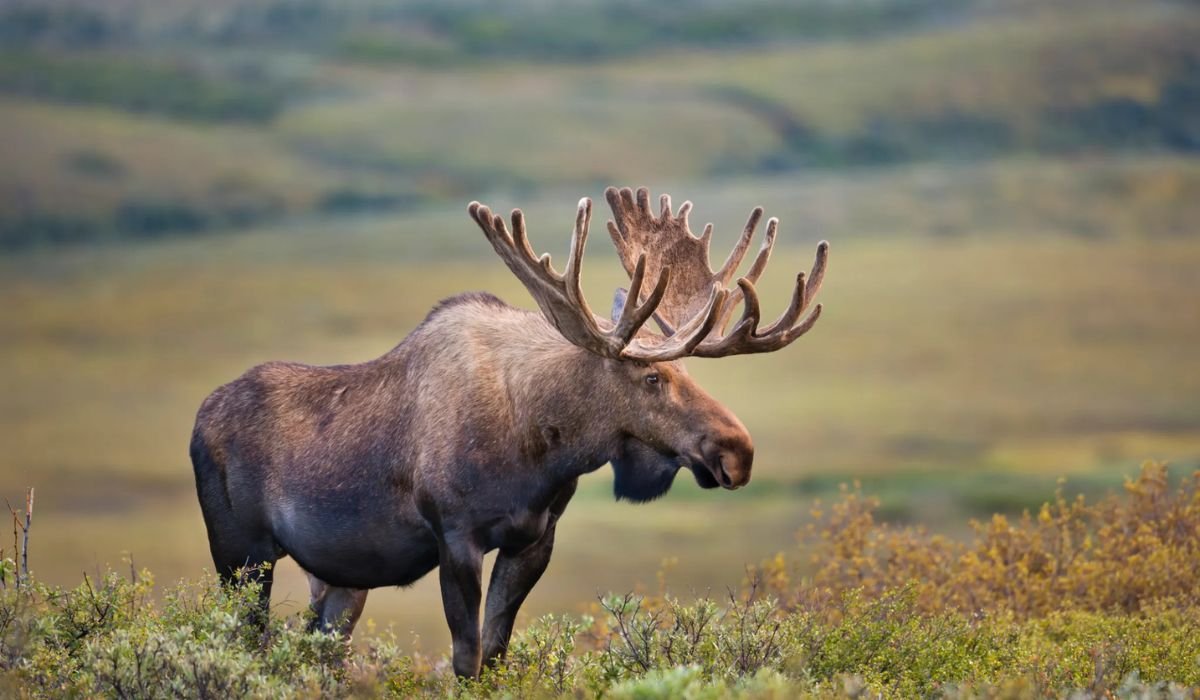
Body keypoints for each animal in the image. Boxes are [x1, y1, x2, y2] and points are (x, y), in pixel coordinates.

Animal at [189, 186, 828, 678]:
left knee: (315, 648)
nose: (738, 451)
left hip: (338, 579)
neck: (540, 444)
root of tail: (199, 419)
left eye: (689, 372)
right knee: (243, 641)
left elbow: (496, 651)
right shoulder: (455, 535)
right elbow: (466, 656)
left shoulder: (534, 538)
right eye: (651, 376)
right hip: (240, 554)